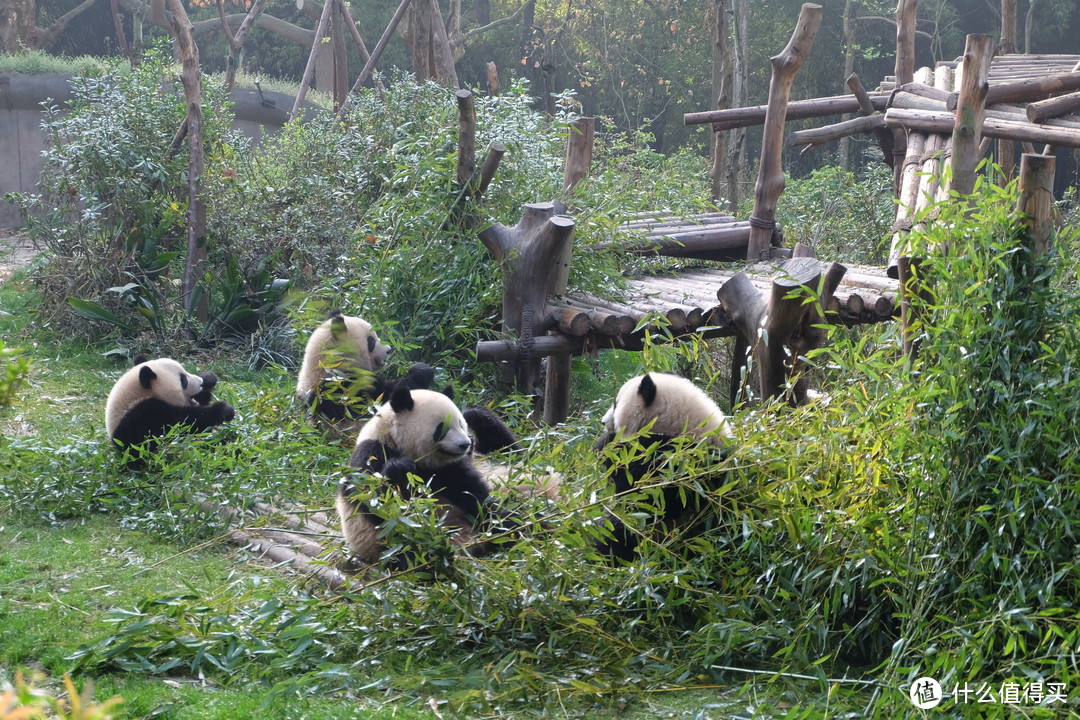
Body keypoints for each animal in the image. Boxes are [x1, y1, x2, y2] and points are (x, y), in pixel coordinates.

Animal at [105, 356, 236, 451]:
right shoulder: (140, 418)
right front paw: (223, 410)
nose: (201, 383)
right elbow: (181, 423)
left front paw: (209, 378)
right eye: (183, 380)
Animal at [591, 371, 734, 561]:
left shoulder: (674, 463)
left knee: (615, 533)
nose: (602, 422)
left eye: (616, 404)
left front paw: (607, 444)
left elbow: (639, 492)